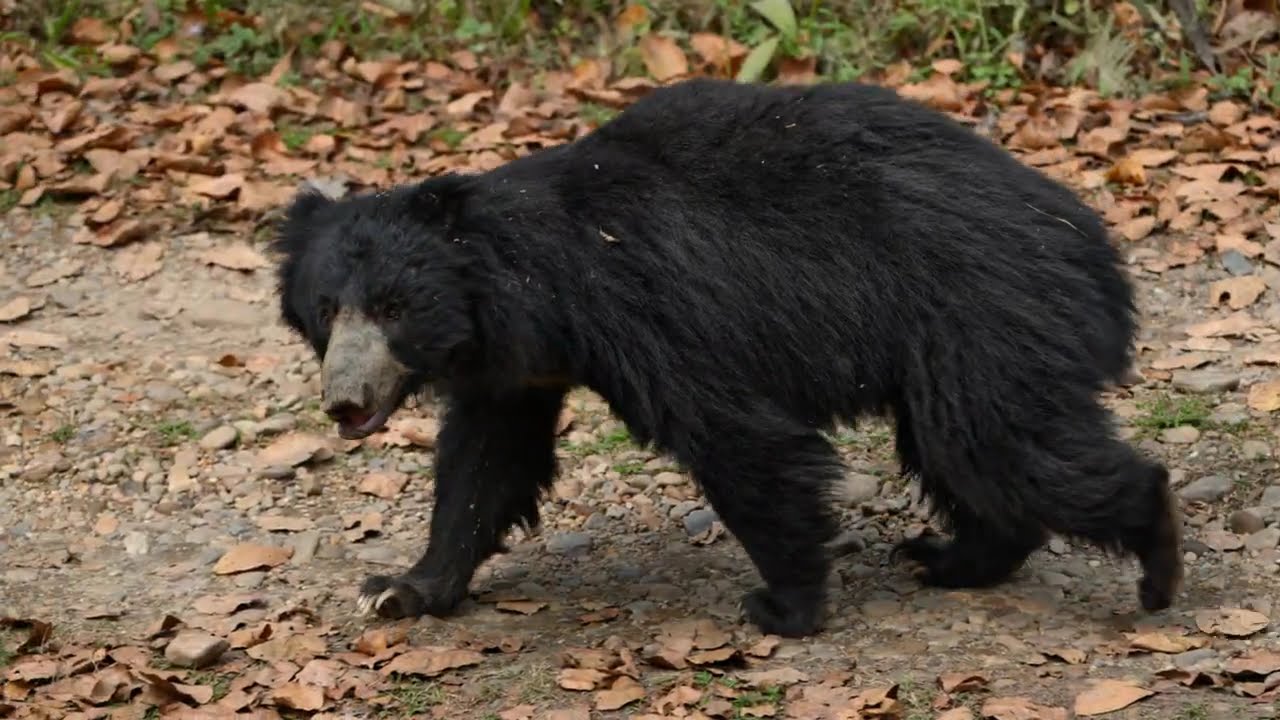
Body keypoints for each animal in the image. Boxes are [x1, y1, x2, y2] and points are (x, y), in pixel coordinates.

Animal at [271, 77, 1184, 639]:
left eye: (393, 309)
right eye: (326, 311)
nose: (345, 403)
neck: (526, 287)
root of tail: (1091, 241)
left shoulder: (650, 309)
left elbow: (740, 438)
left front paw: (783, 606)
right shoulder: (517, 366)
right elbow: (485, 463)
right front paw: (402, 589)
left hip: (981, 317)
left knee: (1002, 445)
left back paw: (1155, 567)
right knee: (970, 455)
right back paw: (951, 558)